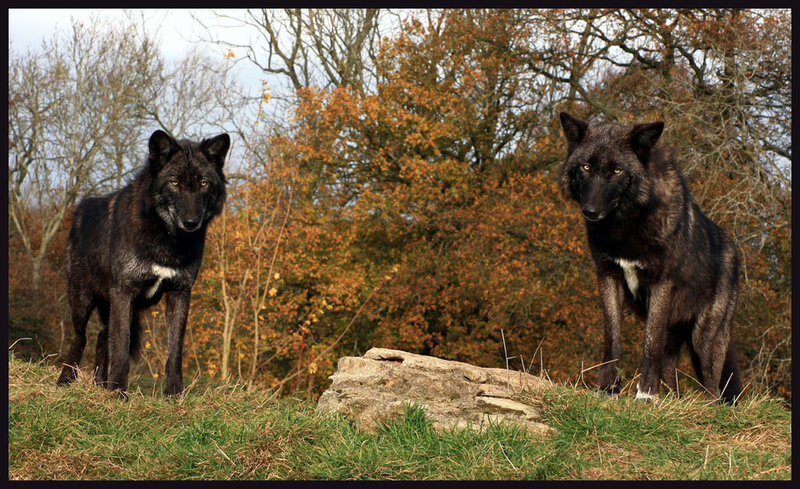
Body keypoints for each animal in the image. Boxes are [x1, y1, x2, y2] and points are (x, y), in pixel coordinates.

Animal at [56, 130, 229, 397]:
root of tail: (79, 208)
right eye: (174, 183)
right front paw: (118, 392)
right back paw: (66, 379)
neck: (168, 240)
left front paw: (173, 393)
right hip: (82, 299)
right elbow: (121, 346)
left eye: (203, 183)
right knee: (80, 337)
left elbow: (175, 351)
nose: (191, 222)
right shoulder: (124, 291)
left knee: (101, 337)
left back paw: (99, 384)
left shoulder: (180, 292)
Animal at [557, 112, 742, 404]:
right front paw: (608, 389)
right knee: (671, 375)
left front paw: (645, 395)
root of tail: (734, 251)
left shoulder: (660, 284)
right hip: (677, 336)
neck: (626, 226)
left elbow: (649, 345)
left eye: (617, 171)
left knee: (713, 390)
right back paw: (671, 401)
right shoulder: (608, 276)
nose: (591, 211)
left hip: (705, 339)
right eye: (586, 167)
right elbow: (612, 339)